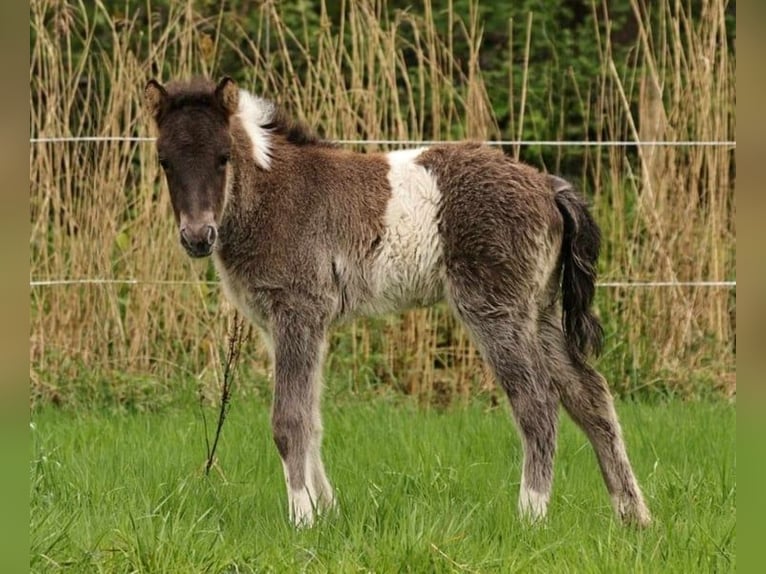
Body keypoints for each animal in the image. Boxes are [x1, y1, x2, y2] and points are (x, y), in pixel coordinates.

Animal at [144, 76, 651, 528]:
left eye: (223, 157)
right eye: (165, 161)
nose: (197, 237)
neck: (272, 195)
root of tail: (548, 186)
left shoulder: (297, 312)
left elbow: (289, 422)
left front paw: (302, 520)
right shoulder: (291, 324)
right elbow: (312, 420)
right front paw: (329, 514)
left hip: (495, 310)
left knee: (538, 402)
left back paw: (530, 518)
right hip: (538, 312)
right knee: (589, 397)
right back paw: (634, 517)